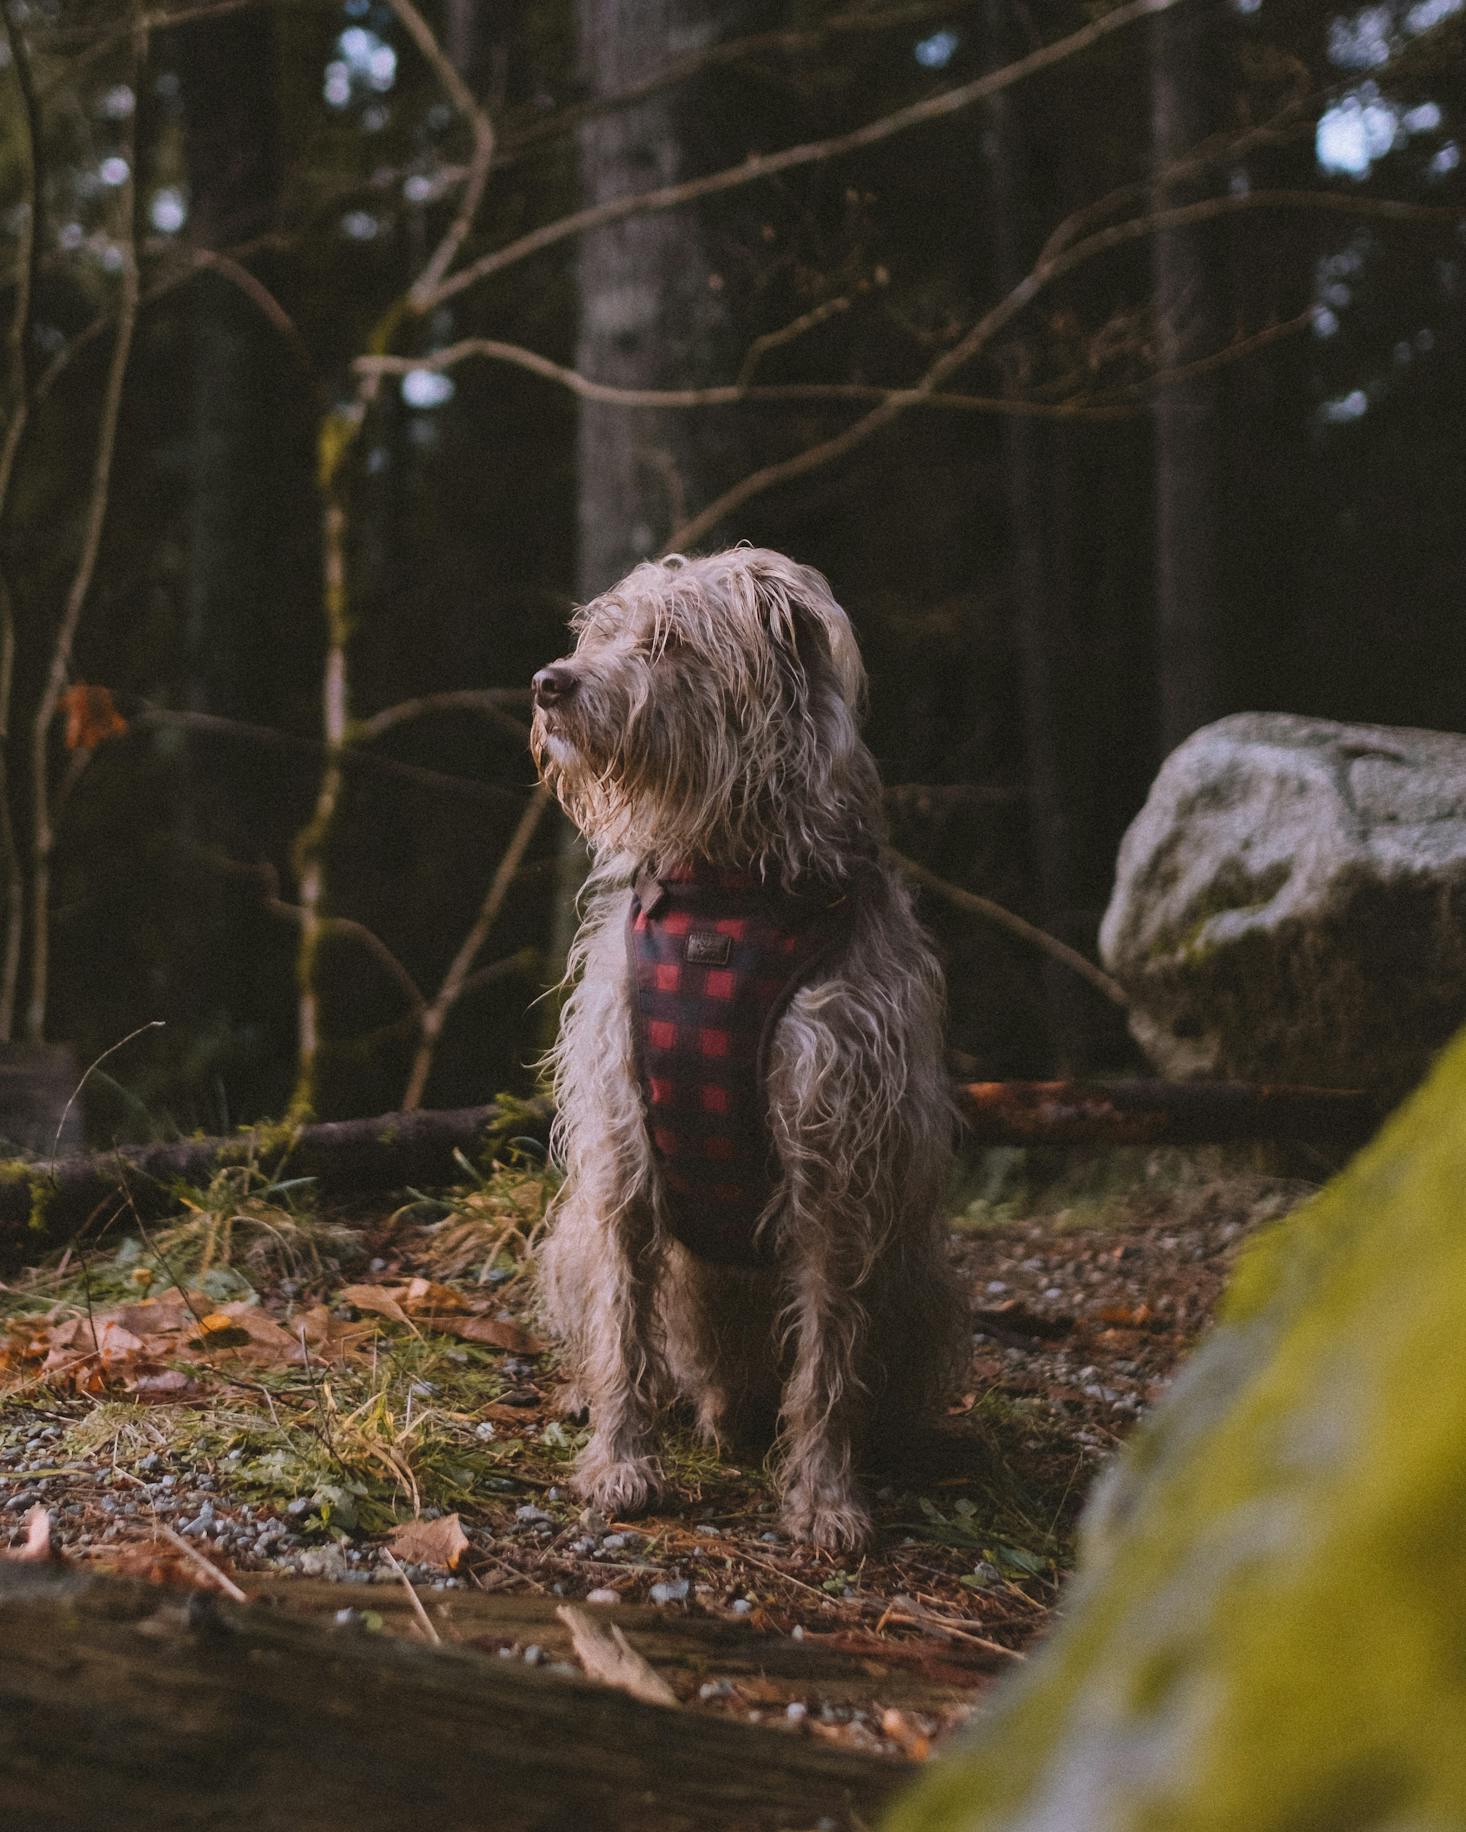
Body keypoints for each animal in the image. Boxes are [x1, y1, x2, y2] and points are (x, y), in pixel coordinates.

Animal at [531, 542, 967, 1546]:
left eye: (666, 643)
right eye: (601, 632)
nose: (548, 683)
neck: (724, 893)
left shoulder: (834, 1159)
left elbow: (829, 1359)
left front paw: (826, 1495)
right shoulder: (622, 1146)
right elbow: (624, 1319)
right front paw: (620, 1460)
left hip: (918, 1276)